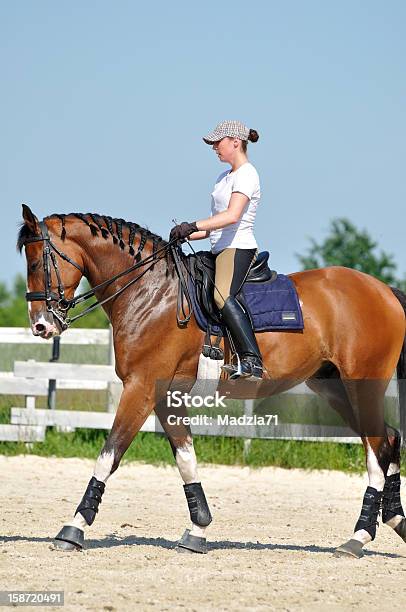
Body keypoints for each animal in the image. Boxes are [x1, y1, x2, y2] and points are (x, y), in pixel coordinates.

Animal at [18, 203, 406, 556]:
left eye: (36, 263)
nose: (41, 325)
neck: (150, 293)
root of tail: (384, 289)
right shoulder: (164, 396)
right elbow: (186, 459)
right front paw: (198, 529)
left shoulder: (140, 388)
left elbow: (109, 454)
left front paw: (73, 528)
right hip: (333, 387)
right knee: (387, 439)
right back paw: (394, 522)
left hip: (360, 385)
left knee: (376, 450)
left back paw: (358, 538)